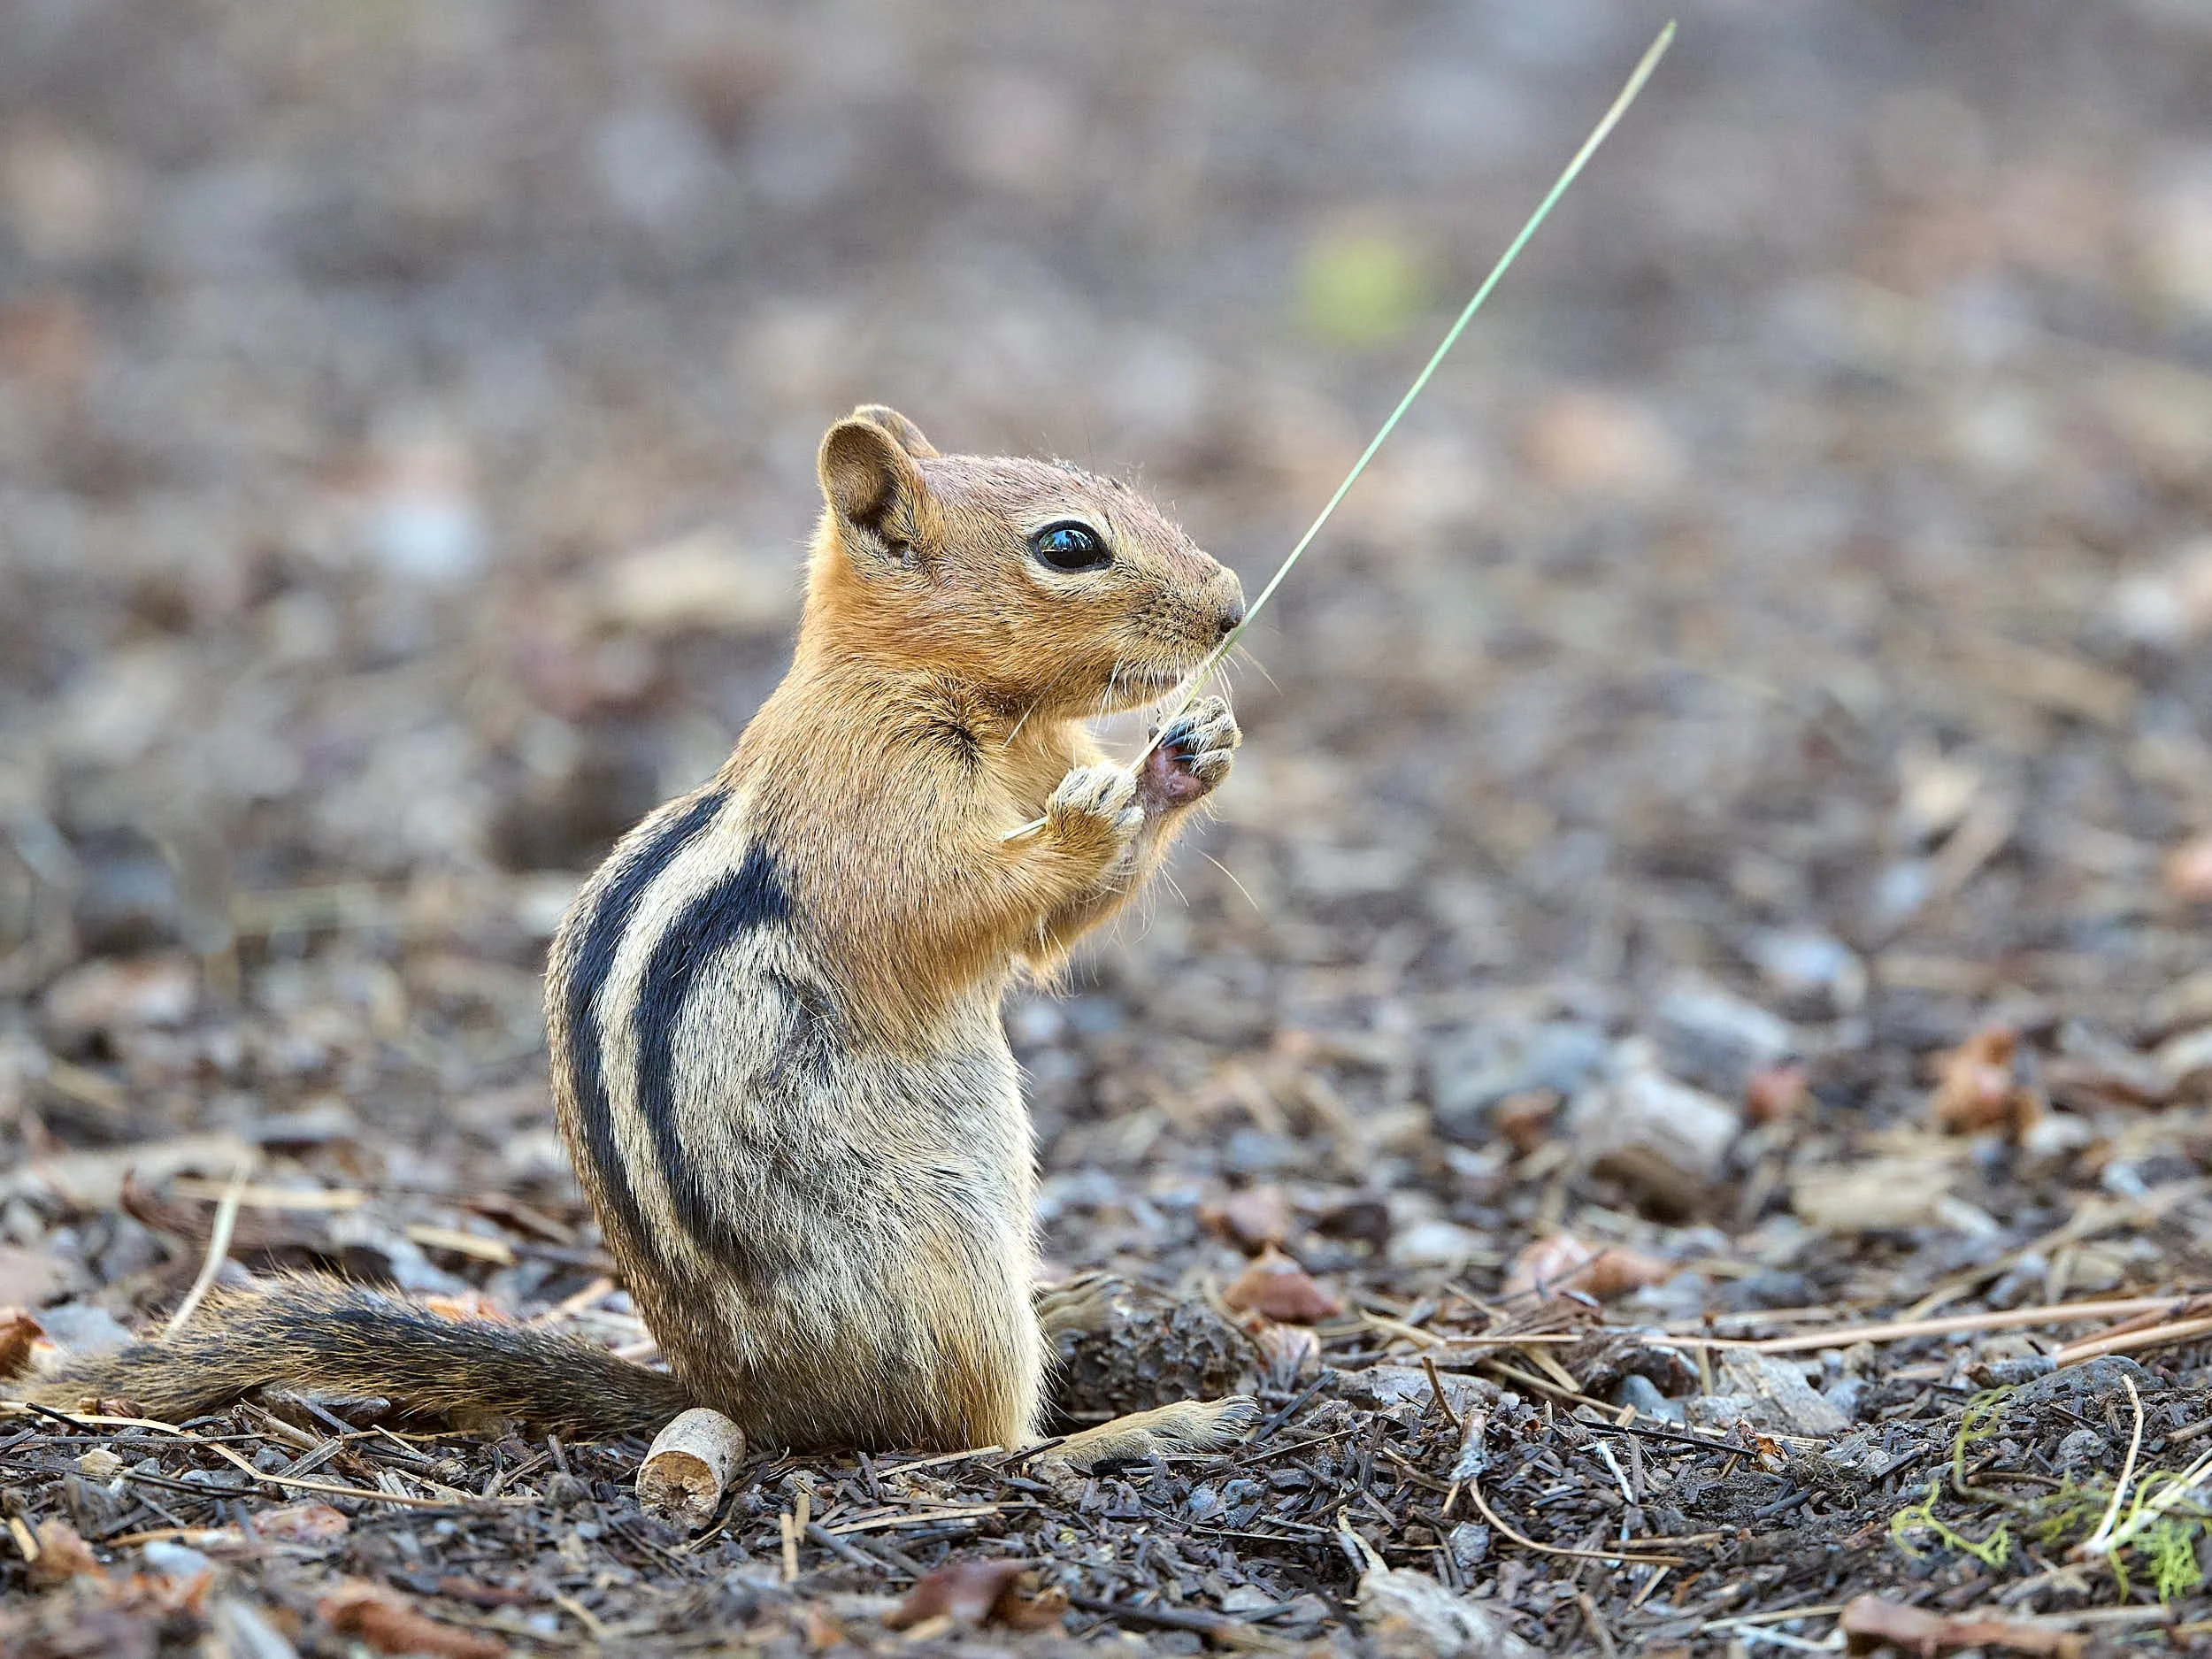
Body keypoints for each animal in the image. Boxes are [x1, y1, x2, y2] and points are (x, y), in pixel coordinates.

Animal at [20, 406, 1259, 1466]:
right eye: (1068, 545)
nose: (1234, 603)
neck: (969, 709)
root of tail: (746, 1402)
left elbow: (1049, 936)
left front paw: (1186, 758)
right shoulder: (868, 802)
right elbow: (945, 909)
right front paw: (1093, 814)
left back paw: (1078, 1307)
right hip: (940, 1266)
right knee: (974, 1445)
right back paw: (1147, 1424)